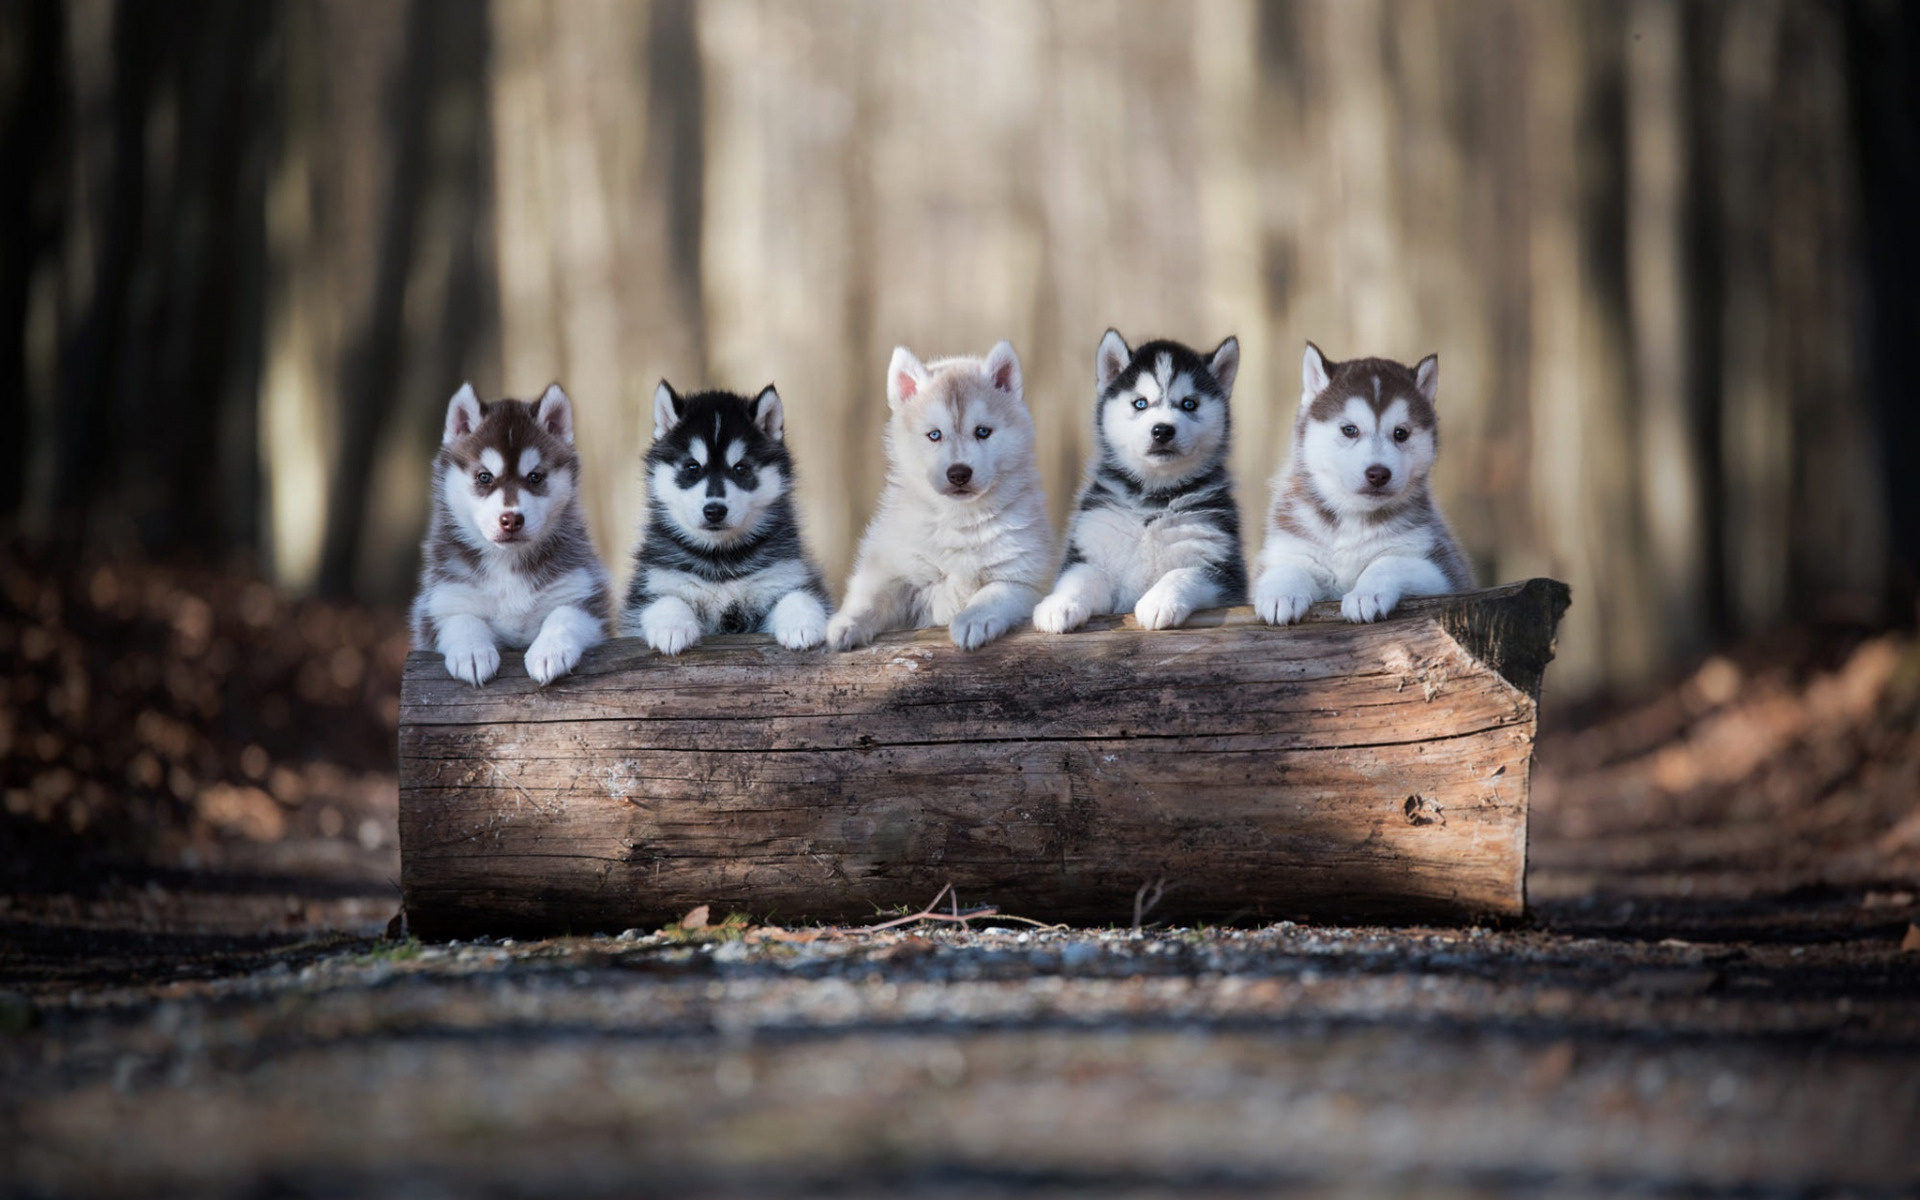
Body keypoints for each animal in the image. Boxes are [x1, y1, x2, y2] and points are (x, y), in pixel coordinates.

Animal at [410, 382, 606, 683]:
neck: (507, 561)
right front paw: (472, 653)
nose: (511, 519)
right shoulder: (442, 600)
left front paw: (549, 651)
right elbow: (462, 619)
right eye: (484, 477)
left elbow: (564, 616)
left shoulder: (582, 591)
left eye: (535, 477)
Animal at [614, 378, 825, 648]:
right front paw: (671, 627)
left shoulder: (783, 575)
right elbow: (665, 599)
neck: (720, 559)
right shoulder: (653, 583)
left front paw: (802, 624)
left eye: (741, 468)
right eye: (692, 467)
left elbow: (799, 596)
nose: (714, 510)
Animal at [825, 337, 1059, 648]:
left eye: (982, 431)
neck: (960, 518)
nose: (959, 473)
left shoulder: (1024, 577)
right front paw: (846, 622)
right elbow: (871, 597)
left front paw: (973, 619)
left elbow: (994, 594)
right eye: (934, 435)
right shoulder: (893, 564)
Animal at [1029, 322, 1251, 633]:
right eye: (1140, 403)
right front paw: (1060, 604)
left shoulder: (1222, 568)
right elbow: (1079, 577)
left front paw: (1159, 601)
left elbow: (1183, 572)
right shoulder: (1091, 548)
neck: (1153, 499)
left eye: (1189, 404)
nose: (1162, 430)